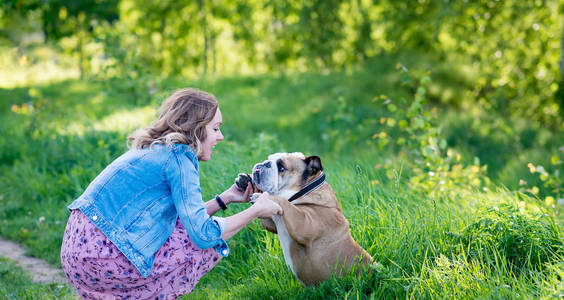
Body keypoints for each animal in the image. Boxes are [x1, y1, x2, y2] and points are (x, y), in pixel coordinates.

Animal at [236, 154, 372, 288]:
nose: (264, 163)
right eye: (269, 158)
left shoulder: (303, 224)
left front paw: (262, 196)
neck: (304, 192)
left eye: (282, 168)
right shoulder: (272, 222)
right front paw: (245, 180)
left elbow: (282, 200)